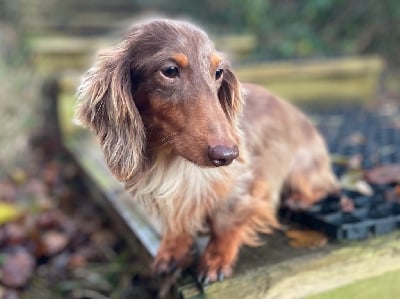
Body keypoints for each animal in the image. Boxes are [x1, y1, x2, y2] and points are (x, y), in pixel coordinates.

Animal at [75, 19, 338, 284]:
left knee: (326, 187)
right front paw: (173, 250)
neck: (170, 156)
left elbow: (225, 223)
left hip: (302, 168)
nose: (228, 155)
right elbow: (176, 223)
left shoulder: (242, 185)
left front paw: (216, 258)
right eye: (170, 70)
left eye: (218, 72)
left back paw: (299, 199)